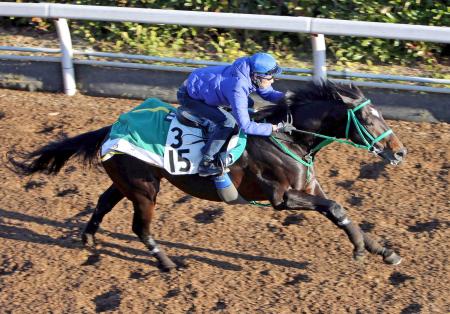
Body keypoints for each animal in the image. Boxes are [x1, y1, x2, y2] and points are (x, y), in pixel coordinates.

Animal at [10, 80, 406, 270]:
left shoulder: (309, 186)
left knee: (104, 201)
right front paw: (361, 252)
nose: (400, 151)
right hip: (144, 188)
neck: (287, 136)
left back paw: (88, 238)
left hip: (127, 181)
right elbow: (337, 208)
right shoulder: (281, 198)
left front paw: (383, 251)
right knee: (140, 227)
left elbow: (339, 211)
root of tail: (113, 126)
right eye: (368, 119)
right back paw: (168, 263)